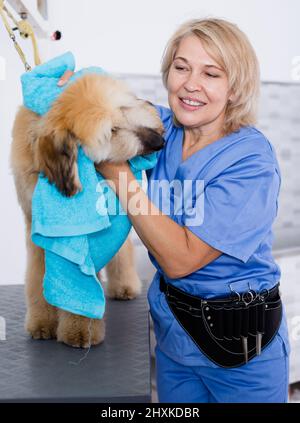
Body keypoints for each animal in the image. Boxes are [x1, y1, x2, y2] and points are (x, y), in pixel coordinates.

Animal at [11, 74, 164, 350]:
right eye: (111, 131)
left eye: (125, 108)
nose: (158, 142)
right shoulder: (35, 231)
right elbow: (38, 277)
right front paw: (42, 322)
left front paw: (79, 331)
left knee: (122, 251)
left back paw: (124, 286)